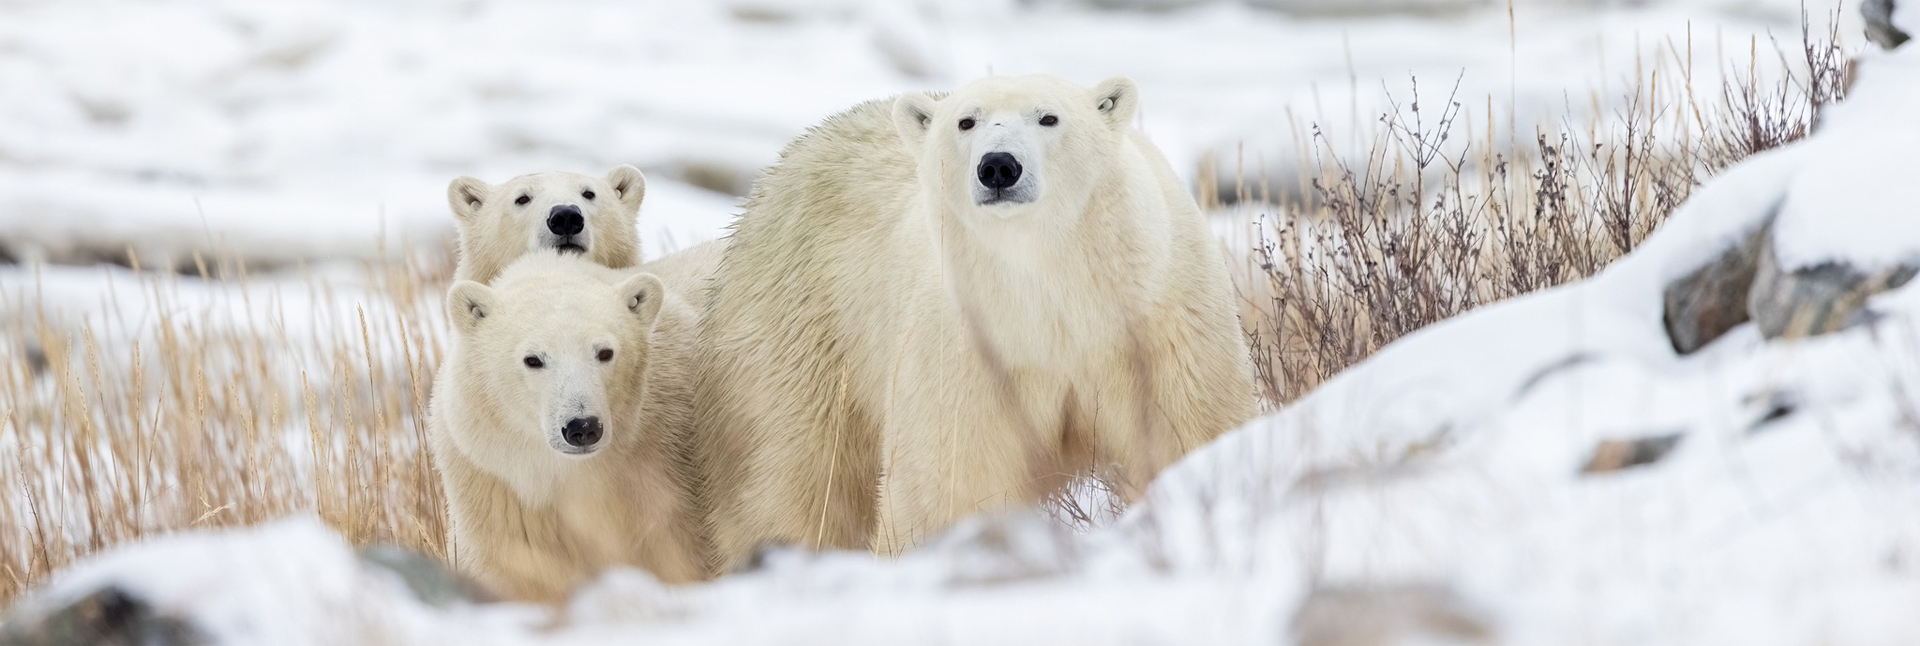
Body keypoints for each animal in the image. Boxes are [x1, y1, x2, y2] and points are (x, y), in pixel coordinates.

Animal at [695, 73, 1259, 561]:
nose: (999, 166)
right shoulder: (966, 349)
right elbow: (954, 480)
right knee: (794, 474)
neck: (1051, 297)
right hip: (801, 331)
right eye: (966, 122)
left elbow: (1188, 430)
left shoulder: (1158, 325)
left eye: (1048, 117)